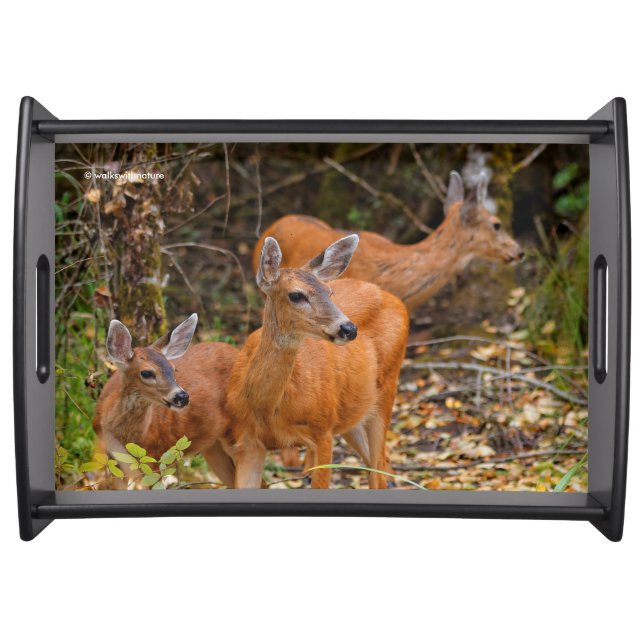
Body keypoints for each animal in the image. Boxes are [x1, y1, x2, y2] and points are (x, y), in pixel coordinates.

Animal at [92, 313, 239, 487]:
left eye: (173, 369)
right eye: (146, 373)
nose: (182, 396)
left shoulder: (155, 457)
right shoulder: (112, 460)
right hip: (213, 446)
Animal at [226, 234, 409, 489]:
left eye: (328, 291)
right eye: (296, 295)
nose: (349, 329)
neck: (267, 409)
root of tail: (393, 298)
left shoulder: (323, 431)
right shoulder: (247, 442)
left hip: (386, 389)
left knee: (378, 474)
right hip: (352, 411)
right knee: (381, 466)